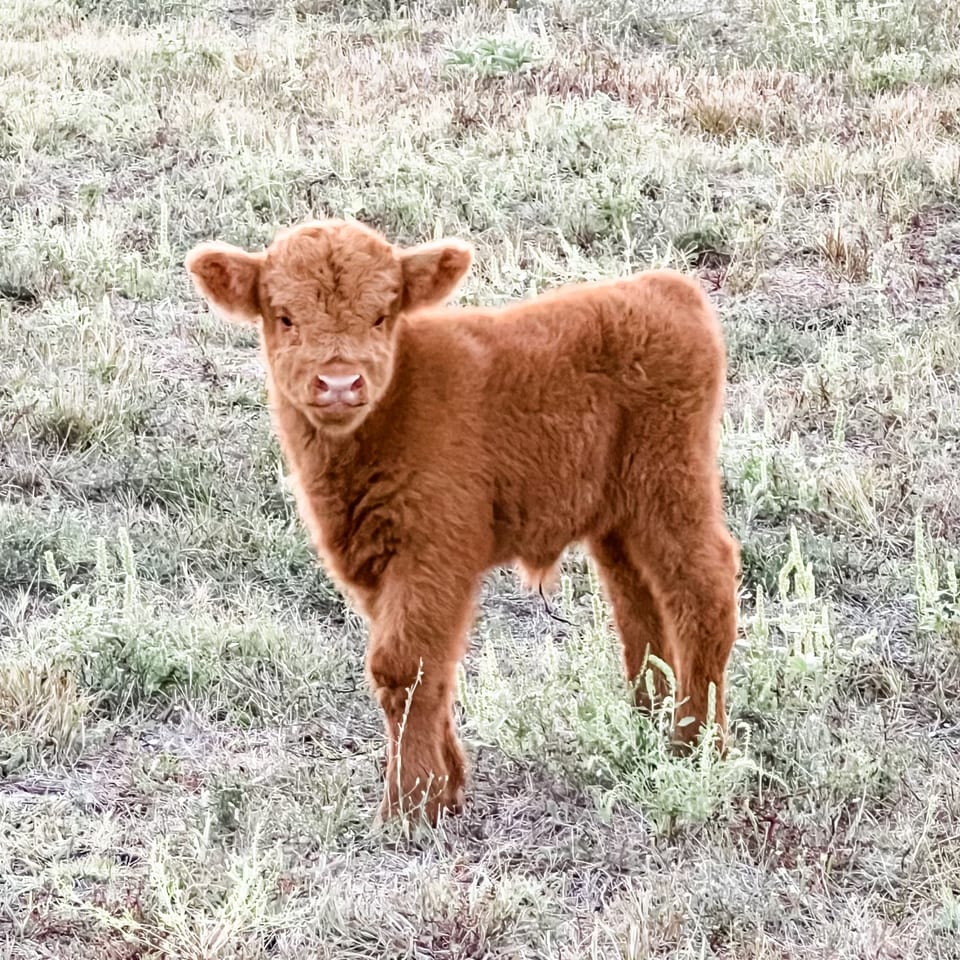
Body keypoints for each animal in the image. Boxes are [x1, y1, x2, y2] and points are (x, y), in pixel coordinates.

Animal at [185, 219, 740, 823]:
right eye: (284, 316)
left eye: (382, 314)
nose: (338, 383)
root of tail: (667, 290)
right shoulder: (376, 563)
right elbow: (429, 668)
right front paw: (445, 787)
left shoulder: (433, 552)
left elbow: (403, 667)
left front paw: (408, 806)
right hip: (620, 521)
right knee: (639, 605)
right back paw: (649, 723)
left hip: (671, 487)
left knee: (702, 587)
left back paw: (695, 744)